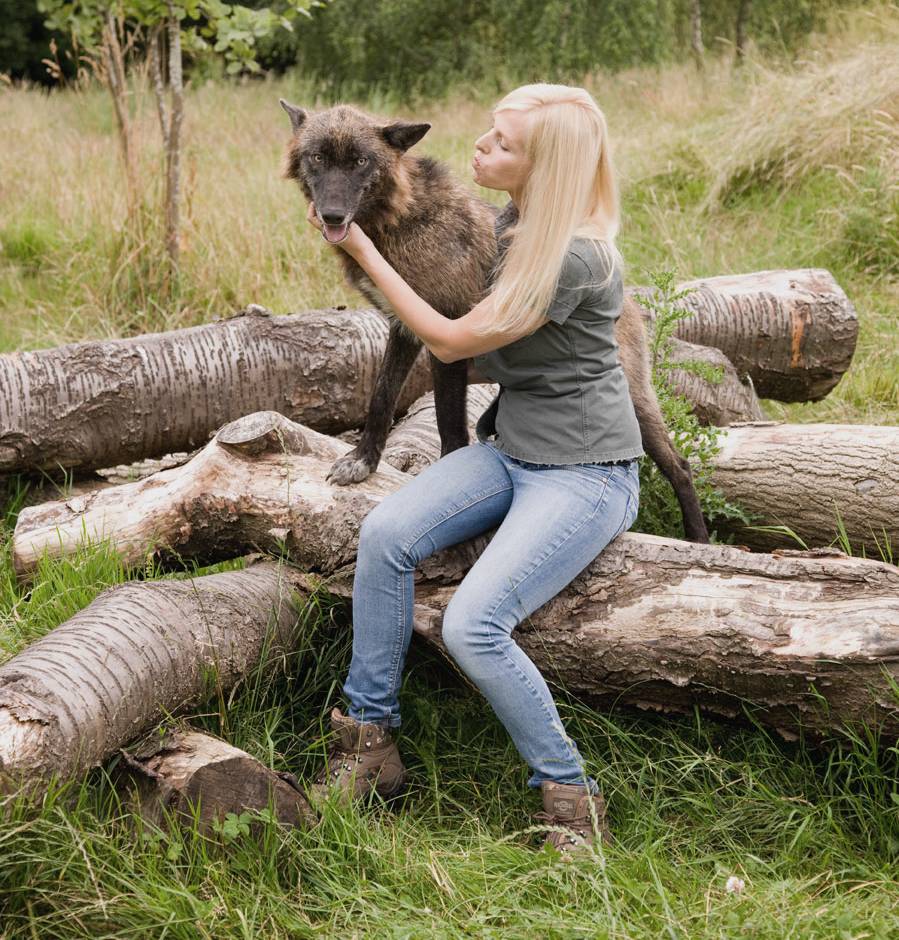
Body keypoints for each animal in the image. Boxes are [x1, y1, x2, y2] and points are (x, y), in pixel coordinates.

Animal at [282, 98, 712, 540]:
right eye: (318, 158)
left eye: (360, 161)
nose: (333, 216)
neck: (401, 218)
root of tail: (628, 296)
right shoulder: (405, 331)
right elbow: (381, 398)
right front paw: (363, 460)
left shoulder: (447, 338)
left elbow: (448, 424)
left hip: (636, 402)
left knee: (679, 465)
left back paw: (699, 538)